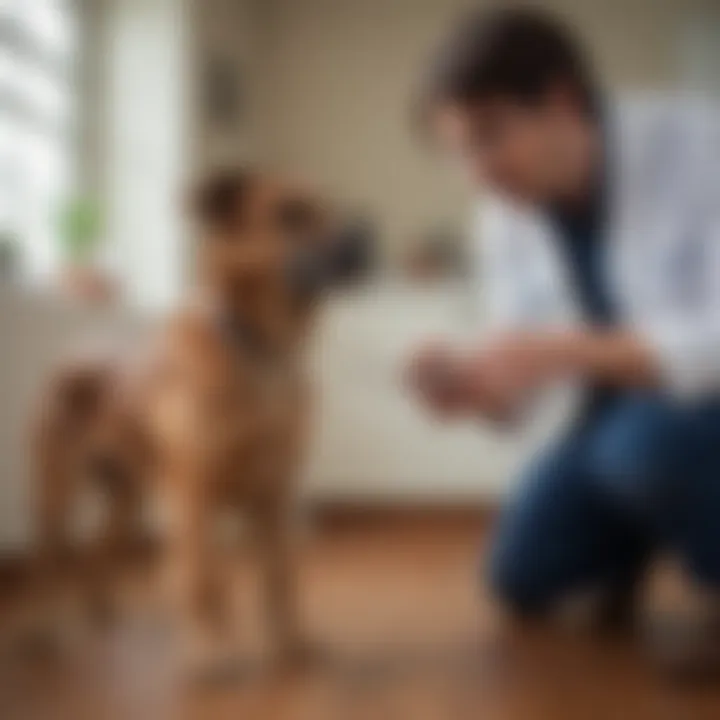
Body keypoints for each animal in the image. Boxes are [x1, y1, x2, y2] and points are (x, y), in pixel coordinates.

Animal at [27, 170, 366, 676]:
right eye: (290, 213)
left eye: (335, 207)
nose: (367, 239)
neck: (260, 350)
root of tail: (75, 364)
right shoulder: (194, 491)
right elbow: (203, 578)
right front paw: (209, 652)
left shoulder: (275, 493)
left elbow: (279, 576)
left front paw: (289, 645)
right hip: (56, 495)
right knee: (48, 561)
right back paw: (46, 627)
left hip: (127, 497)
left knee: (98, 550)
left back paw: (101, 610)